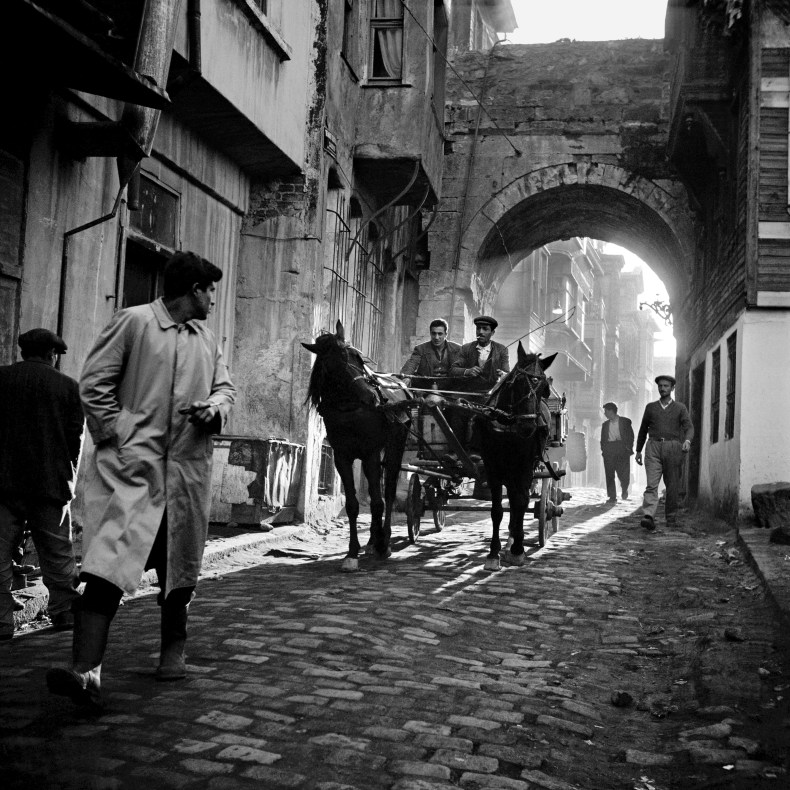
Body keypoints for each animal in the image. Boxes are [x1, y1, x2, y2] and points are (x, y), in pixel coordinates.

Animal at [304, 322, 412, 576]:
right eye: (333, 365)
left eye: (357, 357)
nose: (372, 396)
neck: (349, 410)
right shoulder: (341, 457)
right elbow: (353, 504)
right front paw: (352, 553)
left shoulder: (371, 453)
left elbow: (378, 501)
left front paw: (382, 545)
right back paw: (372, 541)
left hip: (395, 446)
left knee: (388, 491)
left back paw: (383, 539)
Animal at [476, 344, 556, 572]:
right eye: (516, 382)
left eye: (544, 388)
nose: (528, 427)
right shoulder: (492, 466)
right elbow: (496, 510)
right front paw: (493, 554)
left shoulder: (525, 466)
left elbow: (520, 503)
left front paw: (518, 550)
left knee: (519, 500)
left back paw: (514, 540)